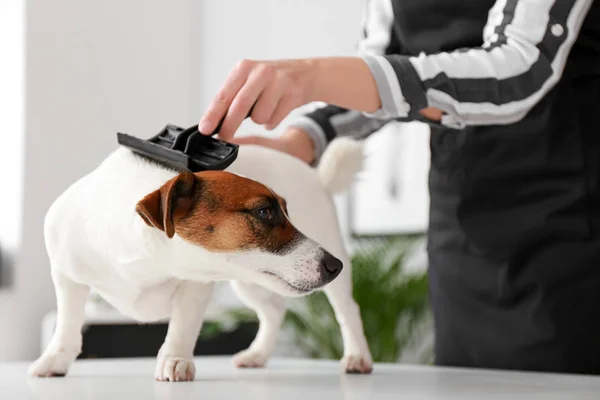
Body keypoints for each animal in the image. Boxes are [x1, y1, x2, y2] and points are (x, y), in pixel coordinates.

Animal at [29, 135, 376, 382]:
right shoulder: (65, 275)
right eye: (265, 212)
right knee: (274, 310)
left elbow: (183, 326)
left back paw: (357, 356)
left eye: (285, 212)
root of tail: (318, 177)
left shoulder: (196, 285)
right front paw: (56, 357)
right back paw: (258, 354)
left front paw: (175, 359)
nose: (334, 265)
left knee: (347, 310)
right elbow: (68, 321)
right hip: (251, 282)